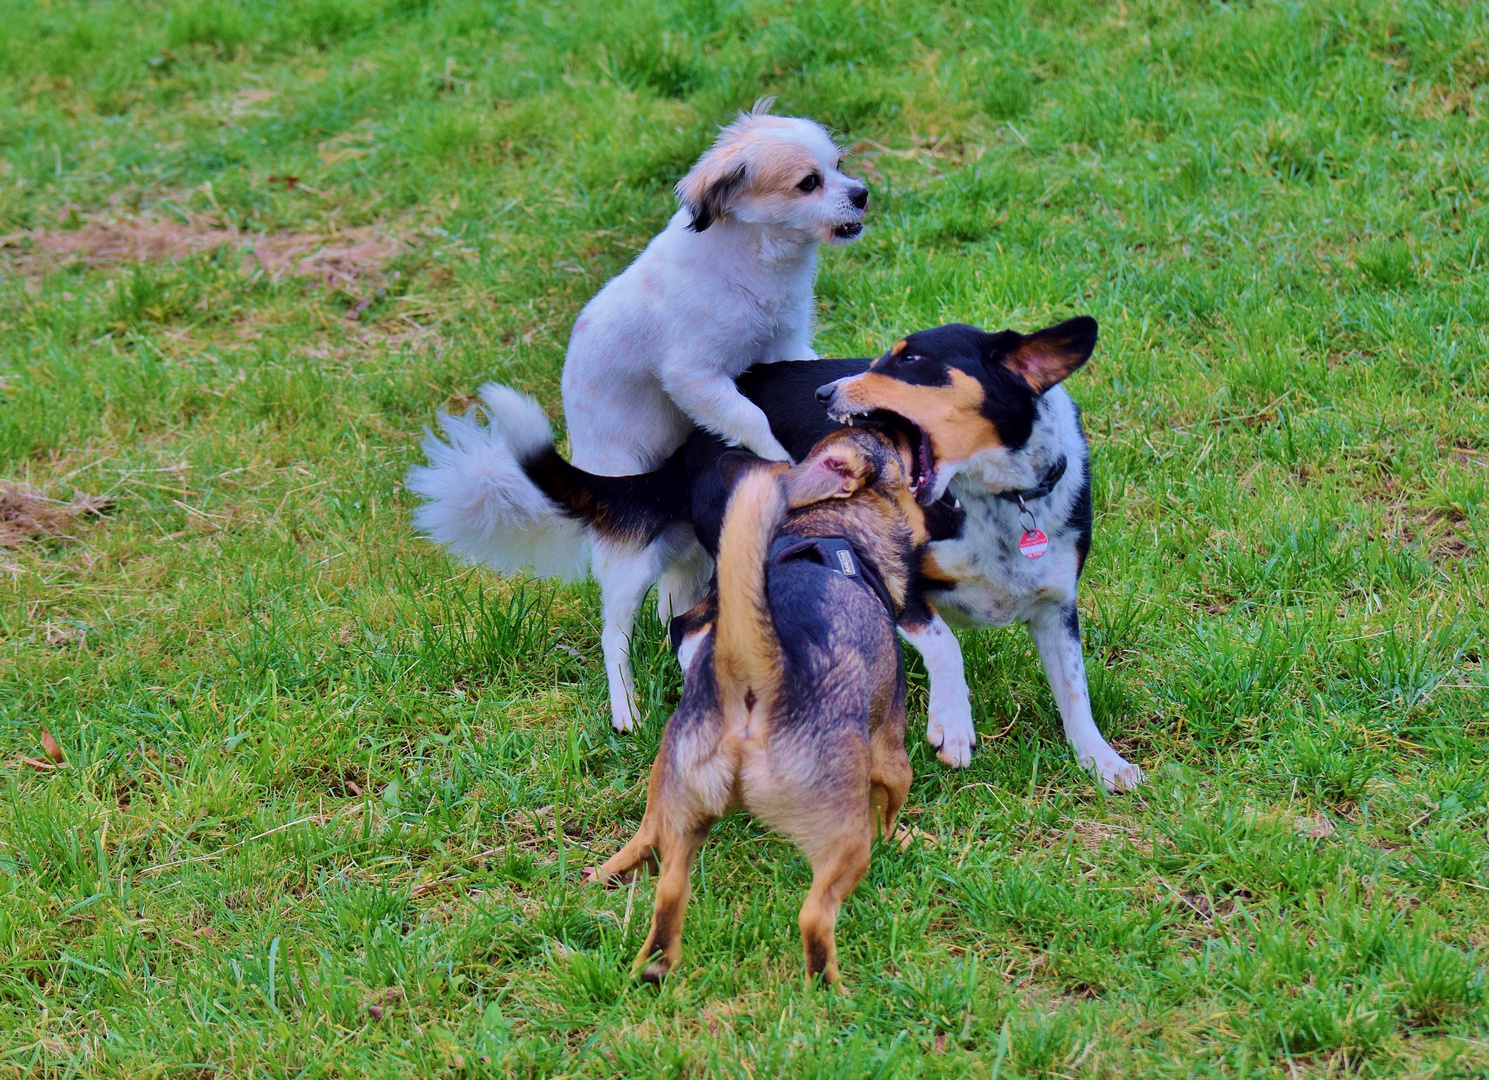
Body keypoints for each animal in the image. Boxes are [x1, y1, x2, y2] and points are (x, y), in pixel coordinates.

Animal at [413, 101, 869, 729]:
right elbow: (752, 419)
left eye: (840, 166)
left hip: (688, 554)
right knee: (616, 633)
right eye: (808, 183)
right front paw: (781, 461)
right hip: (631, 562)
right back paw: (625, 706)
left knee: (678, 605)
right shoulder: (696, 376)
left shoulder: (784, 344)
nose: (863, 194)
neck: (752, 257)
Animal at [580, 426, 929, 983]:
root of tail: (754, 679)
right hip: (842, 838)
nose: (913, 428)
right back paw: (829, 987)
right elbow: (890, 808)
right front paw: (901, 838)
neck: (829, 525)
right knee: (815, 916)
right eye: (885, 436)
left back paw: (638, 939)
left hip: (673, 796)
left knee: (661, 876)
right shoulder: (890, 754)